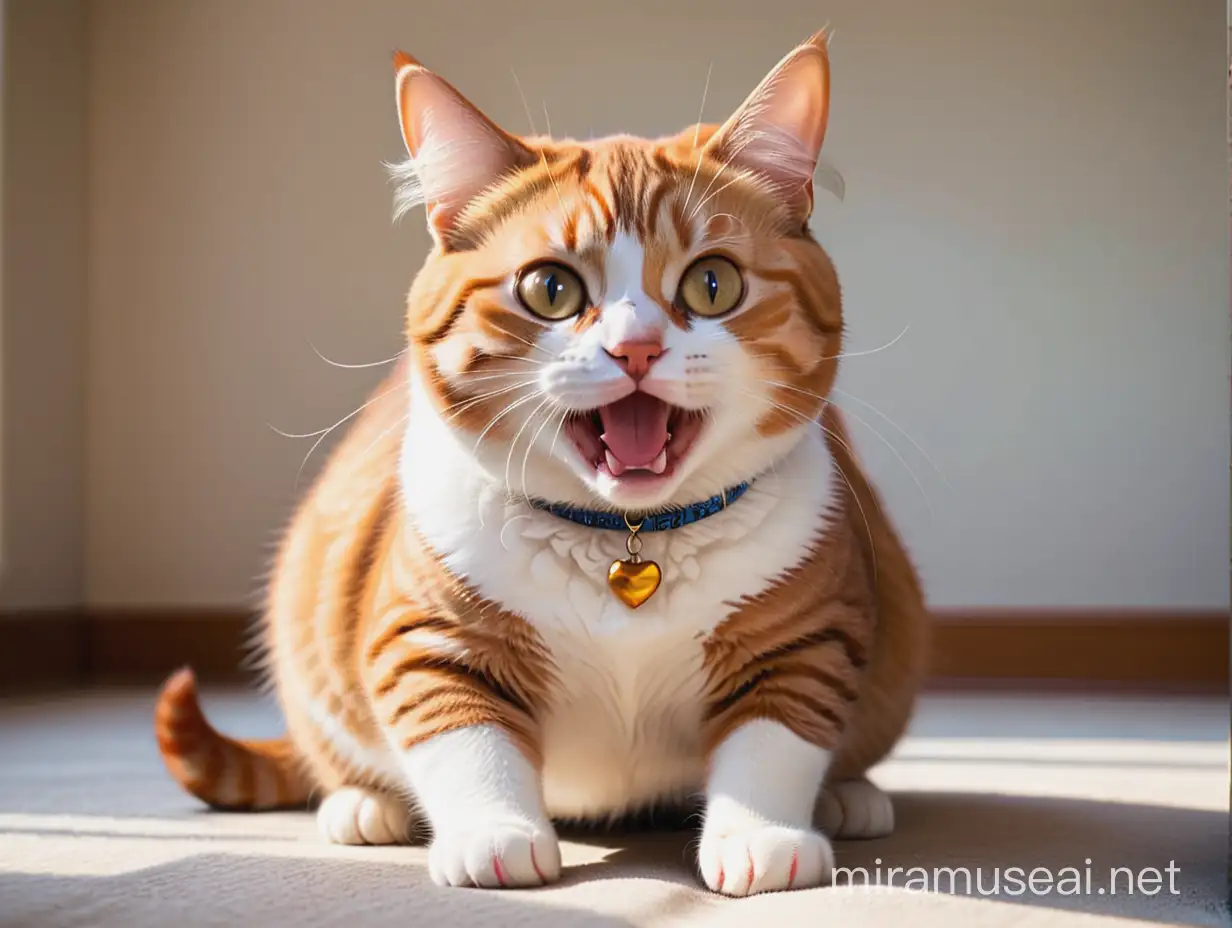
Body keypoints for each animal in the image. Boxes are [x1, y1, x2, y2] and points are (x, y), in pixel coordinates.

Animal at [154, 32, 926, 892]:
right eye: (551, 289)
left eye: (712, 282)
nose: (635, 348)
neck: (627, 543)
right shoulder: (428, 637)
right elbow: (466, 741)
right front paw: (494, 835)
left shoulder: (809, 639)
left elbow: (775, 740)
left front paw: (762, 836)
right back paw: (365, 807)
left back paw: (850, 798)